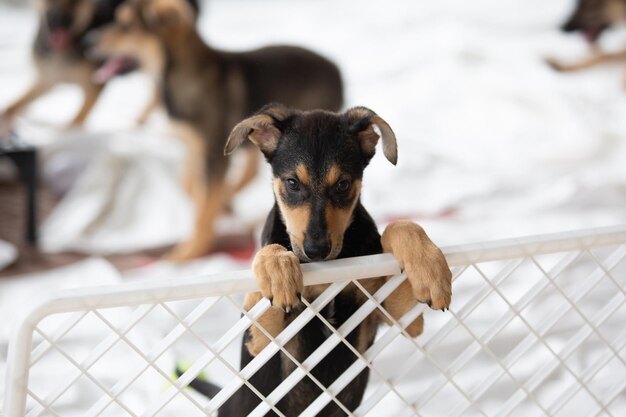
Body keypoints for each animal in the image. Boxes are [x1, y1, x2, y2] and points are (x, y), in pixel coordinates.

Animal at [88, 0, 344, 260]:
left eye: (127, 26)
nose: (89, 40)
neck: (178, 75)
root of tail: (336, 68)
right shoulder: (195, 145)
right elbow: (189, 184)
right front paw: (216, 206)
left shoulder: (214, 154)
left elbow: (203, 207)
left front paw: (189, 252)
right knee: (250, 169)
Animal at [183, 102, 450, 414]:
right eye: (292, 183)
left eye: (343, 184)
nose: (316, 250)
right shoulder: (259, 343)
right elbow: (268, 253)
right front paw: (278, 269)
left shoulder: (401, 317)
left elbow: (401, 225)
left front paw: (431, 270)